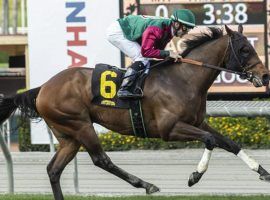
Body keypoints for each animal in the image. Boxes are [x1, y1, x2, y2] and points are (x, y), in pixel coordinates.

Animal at [0, 25, 270, 198]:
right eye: (244, 49)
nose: (265, 75)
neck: (184, 79)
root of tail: (43, 87)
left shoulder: (198, 122)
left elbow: (229, 143)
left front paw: (263, 172)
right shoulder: (169, 129)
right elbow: (210, 140)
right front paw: (195, 176)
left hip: (68, 135)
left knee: (54, 170)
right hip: (80, 125)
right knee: (101, 160)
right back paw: (146, 185)